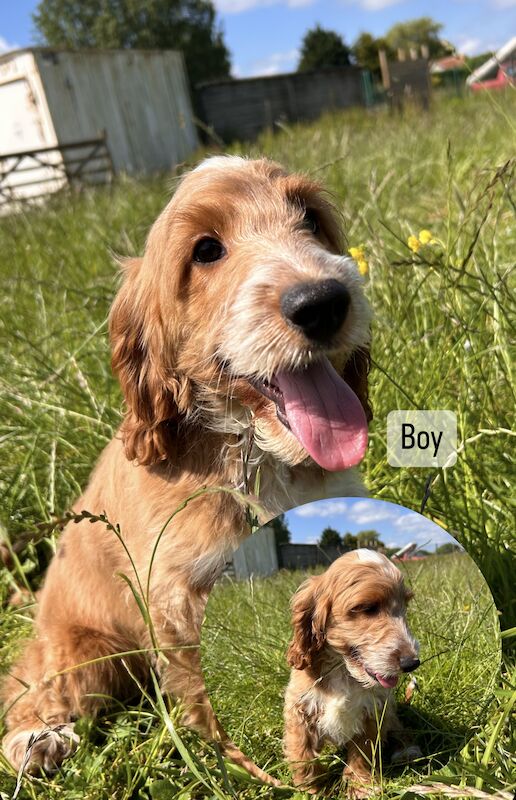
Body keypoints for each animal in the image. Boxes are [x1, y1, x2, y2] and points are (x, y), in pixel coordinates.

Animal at [0, 156, 370, 780]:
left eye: (310, 219)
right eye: (206, 250)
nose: (324, 301)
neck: (250, 451)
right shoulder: (177, 592)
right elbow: (201, 685)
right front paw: (246, 765)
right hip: (85, 650)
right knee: (32, 681)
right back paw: (36, 738)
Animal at [284, 552, 422, 792]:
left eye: (404, 607)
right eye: (368, 608)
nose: (412, 663)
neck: (343, 669)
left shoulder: (374, 711)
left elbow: (363, 751)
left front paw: (361, 785)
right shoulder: (300, 708)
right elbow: (302, 752)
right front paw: (310, 789)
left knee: (399, 729)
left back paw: (407, 751)